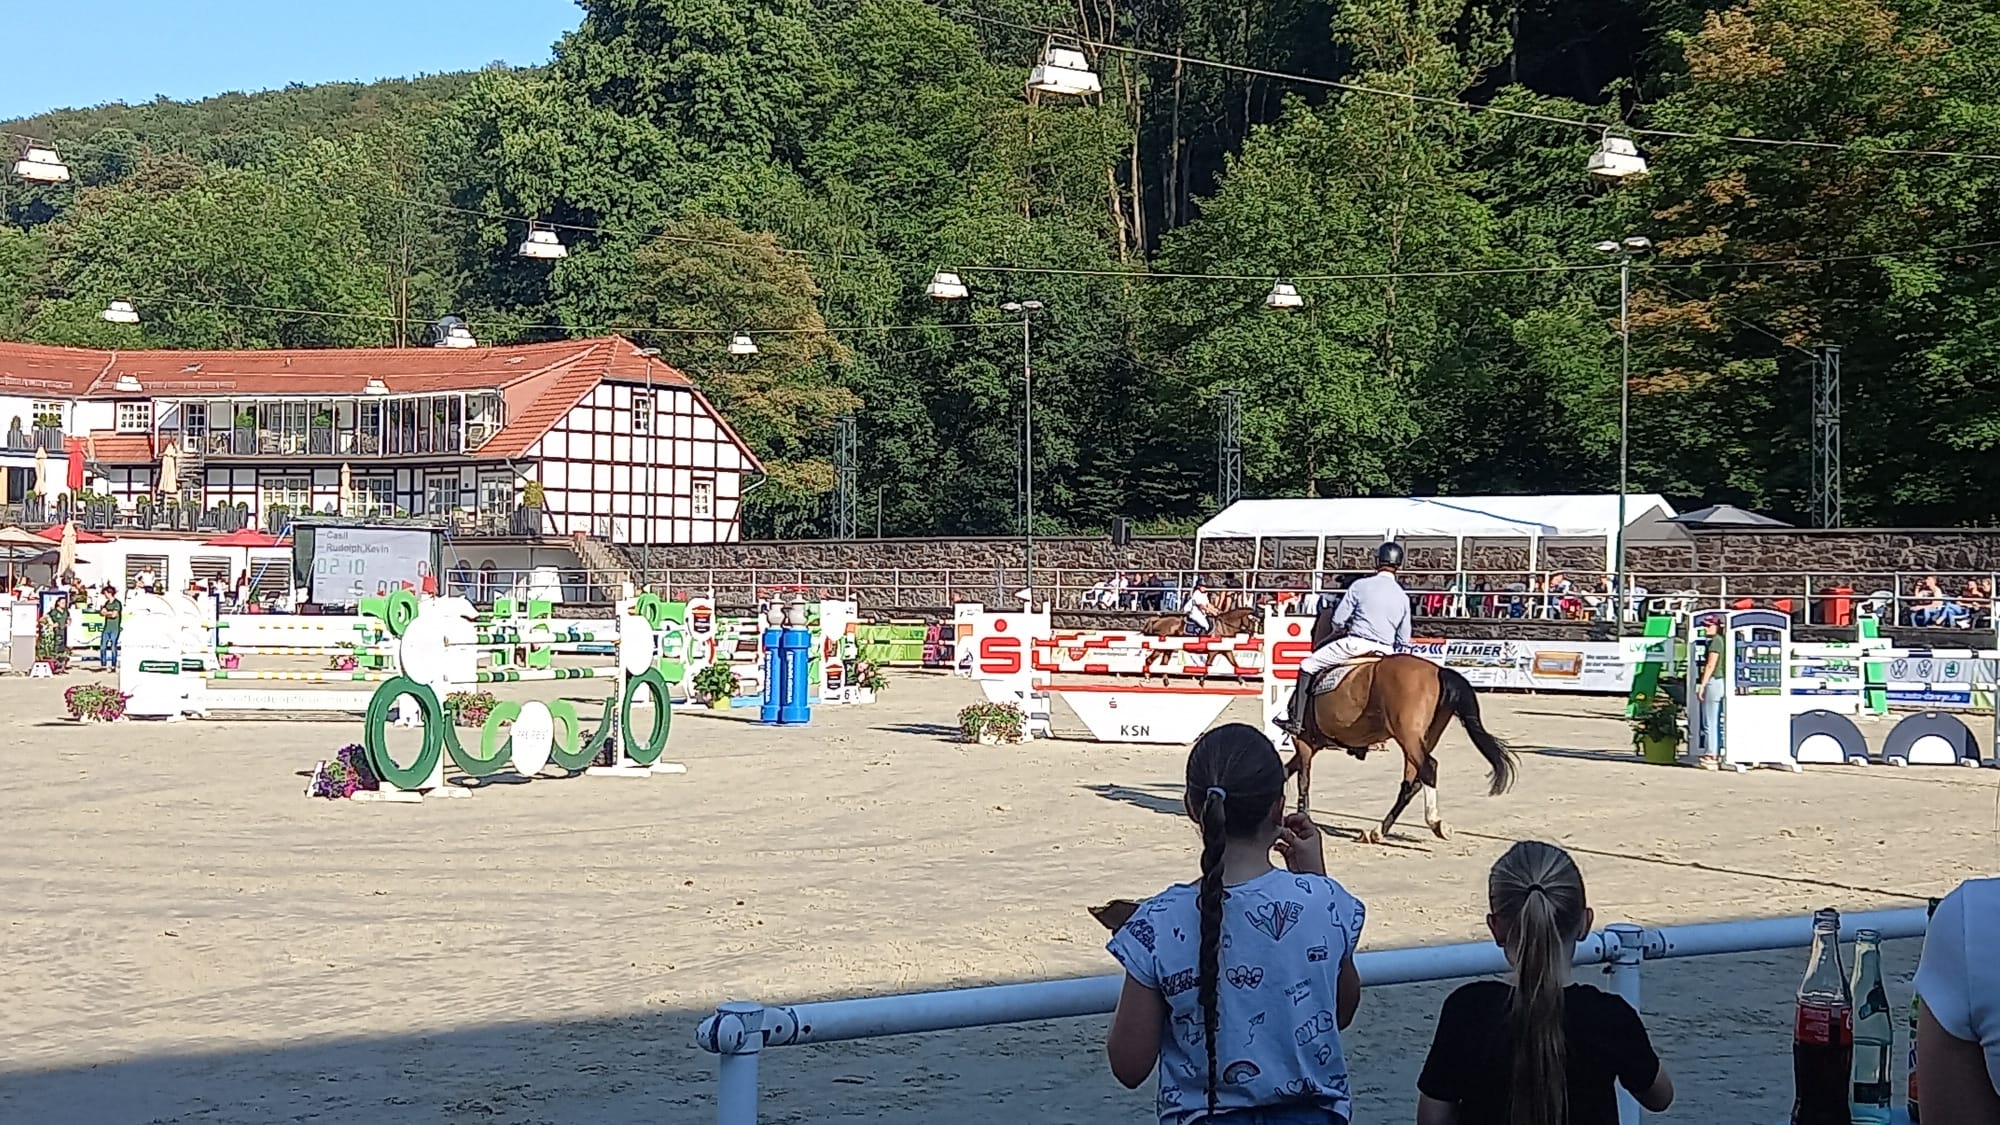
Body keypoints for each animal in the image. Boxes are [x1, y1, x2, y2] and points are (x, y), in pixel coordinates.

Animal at [1280, 600, 1512, 836]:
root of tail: (1438, 671)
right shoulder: (1312, 744)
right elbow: (1288, 771)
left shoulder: (1304, 741)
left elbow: (1303, 779)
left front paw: (1302, 818)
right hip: (1422, 739)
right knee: (1412, 782)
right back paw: (1379, 831)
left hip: (1408, 737)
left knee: (1428, 768)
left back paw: (1434, 822)